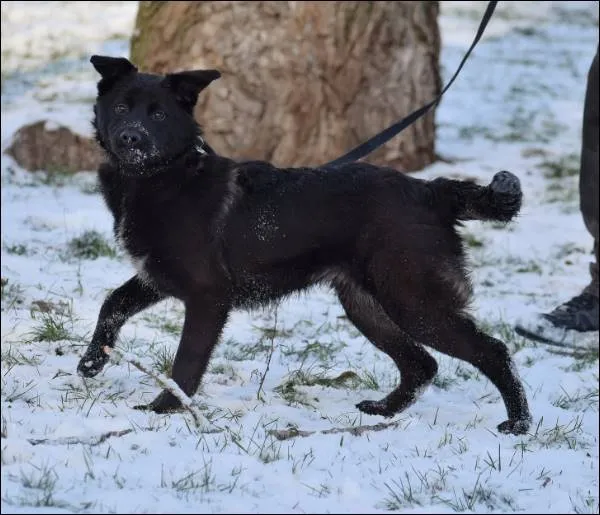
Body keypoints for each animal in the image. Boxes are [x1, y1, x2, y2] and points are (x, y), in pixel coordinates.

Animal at [78, 55, 528, 436]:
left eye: (158, 114)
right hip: (367, 304)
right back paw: (384, 410)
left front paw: (164, 410)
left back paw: (519, 424)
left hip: (413, 300)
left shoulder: (207, 297)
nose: (131, 137)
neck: (161, 177)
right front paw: (92, 360)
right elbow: (112, 303)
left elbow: (186, 362)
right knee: (422, 364)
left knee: (493, 350)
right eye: (121, 108)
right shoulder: (156, 275)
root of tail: (431, 191)